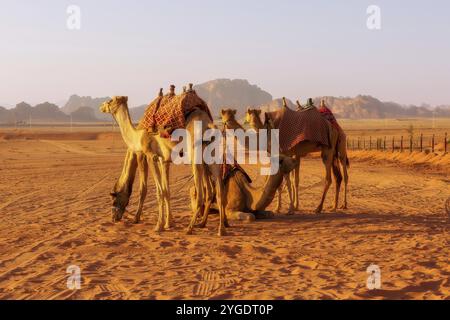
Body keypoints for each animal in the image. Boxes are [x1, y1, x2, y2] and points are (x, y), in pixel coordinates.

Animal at [100, 94, 227, 235]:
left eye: (114, 198)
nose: (114, 218)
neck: (138, 135)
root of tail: (208, 124)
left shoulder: (149, 156)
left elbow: (154, 191)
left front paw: (154, 224)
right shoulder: (164, 160)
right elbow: (166, 191)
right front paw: (168, 223)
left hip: (195, 155)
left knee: (201, 194)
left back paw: (190, 228)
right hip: (212, 156)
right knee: (218, 192)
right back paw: (217, 228)